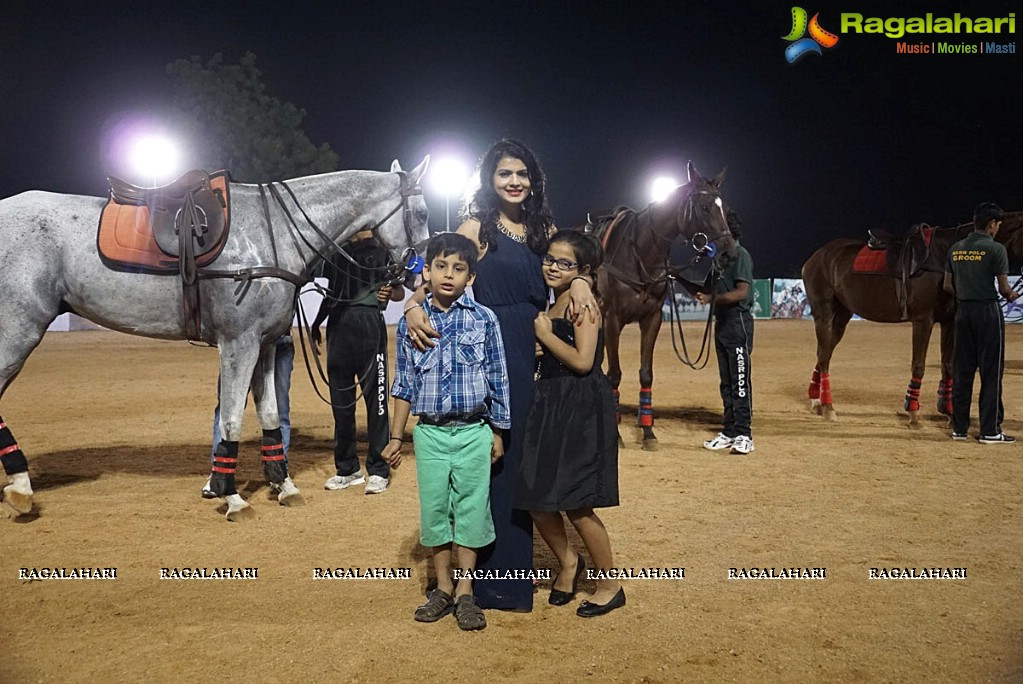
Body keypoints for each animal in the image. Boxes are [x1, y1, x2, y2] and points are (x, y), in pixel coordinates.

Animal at [0, 156, 427, 517]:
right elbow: (233, 419)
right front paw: (231, 494)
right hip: (18, 331)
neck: (275, 231)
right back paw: (20, 485)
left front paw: (283, 484)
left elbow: (268, 414)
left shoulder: (264, 343)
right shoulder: (240, 342)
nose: (417, 272)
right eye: (421, 212)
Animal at [585, 160, 736, 447]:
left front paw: (647, 431)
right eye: (704, 207)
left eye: (725, 207)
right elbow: (615, 374)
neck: (639, 254)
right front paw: (616, 434)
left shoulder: (652, 318)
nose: (728, 254)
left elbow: (646, 373)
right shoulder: (612, 320)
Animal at [802, 211, 1018, 427]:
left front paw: (949, 412)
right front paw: (913, 413)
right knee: (824, 357)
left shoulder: (949, 322)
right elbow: (919, 365)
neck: (944, 255)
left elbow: (947, 366)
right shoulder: (923, 320)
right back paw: (828, 407)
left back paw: (817, 400)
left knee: (823, 353)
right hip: (824, 314)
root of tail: (814, 259)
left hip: (841, 317)